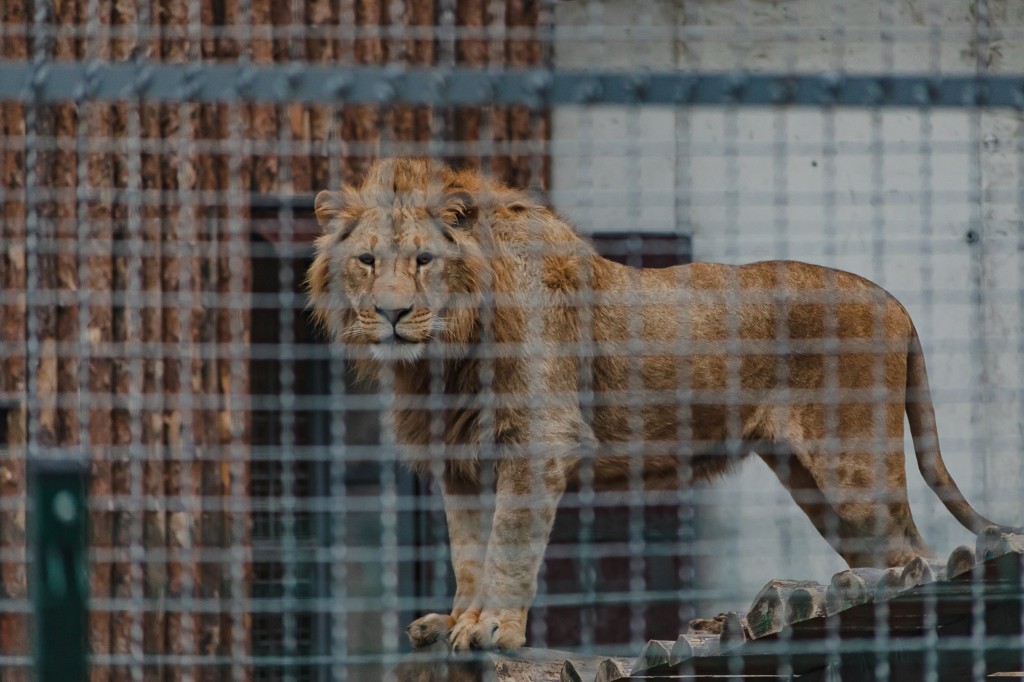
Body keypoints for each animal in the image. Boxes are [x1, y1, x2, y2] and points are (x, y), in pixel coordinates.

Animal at [307, 156, 1003, 651]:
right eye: (366, 261)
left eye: (424, 260)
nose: (392, 314)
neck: (440, 360)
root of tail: (896, 301)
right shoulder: (462, 460)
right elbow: (469, 552)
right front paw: (454, 621)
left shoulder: (538, 441)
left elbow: (508, 546)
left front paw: (493, 629)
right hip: (817, 486)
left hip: (854, 466)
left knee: (915, 557)